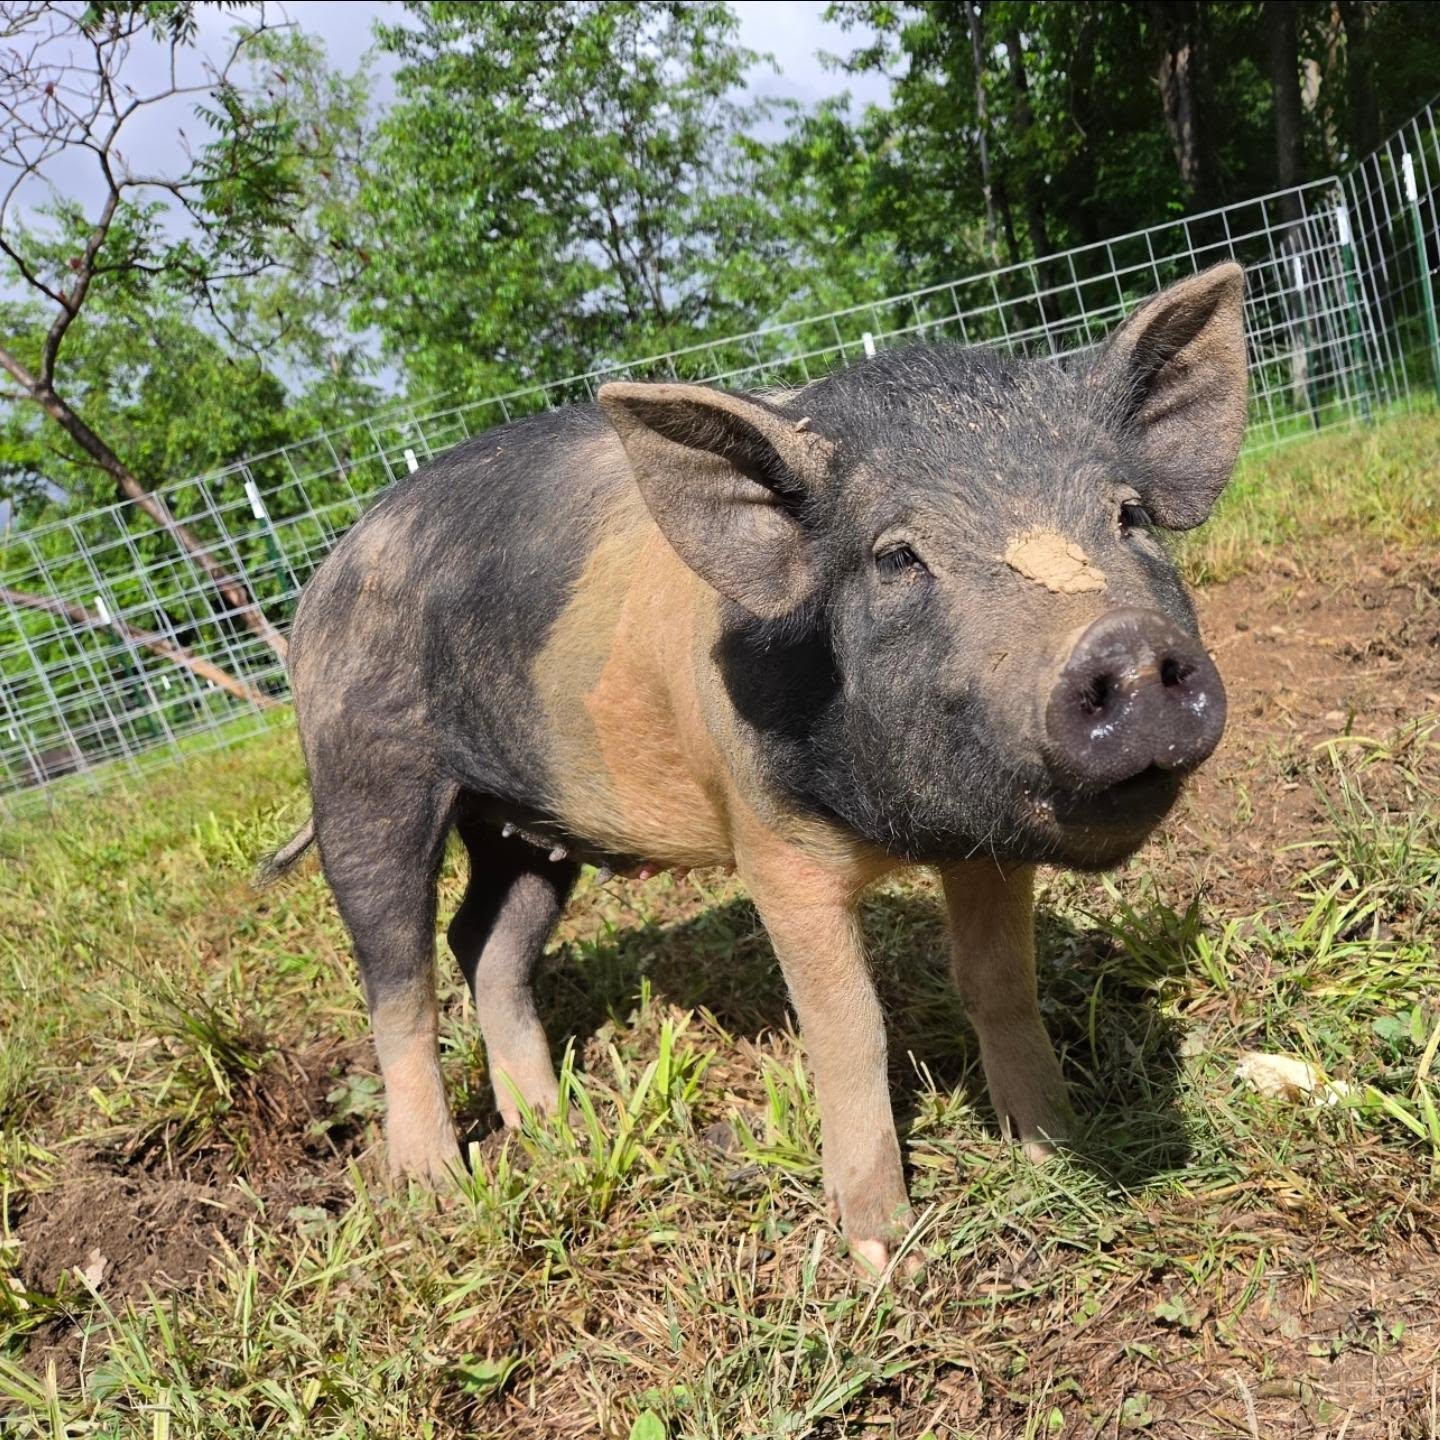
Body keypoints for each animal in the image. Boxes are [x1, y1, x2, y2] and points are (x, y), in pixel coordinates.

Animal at [263, 264, 1246, 1271]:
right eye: (897, 556)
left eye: (1129, 516)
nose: (1123, 643)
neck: (893, 826)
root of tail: (320, 586)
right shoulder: (773, 848)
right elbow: (849, 1029)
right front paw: (882, 1254)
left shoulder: (989, 843)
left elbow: (999, 983)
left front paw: (1055, 1148)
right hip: (364, 778)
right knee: (399, 979)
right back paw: (436, 1193)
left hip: (526, 823)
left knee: (485, 942)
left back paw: (556, 1134)